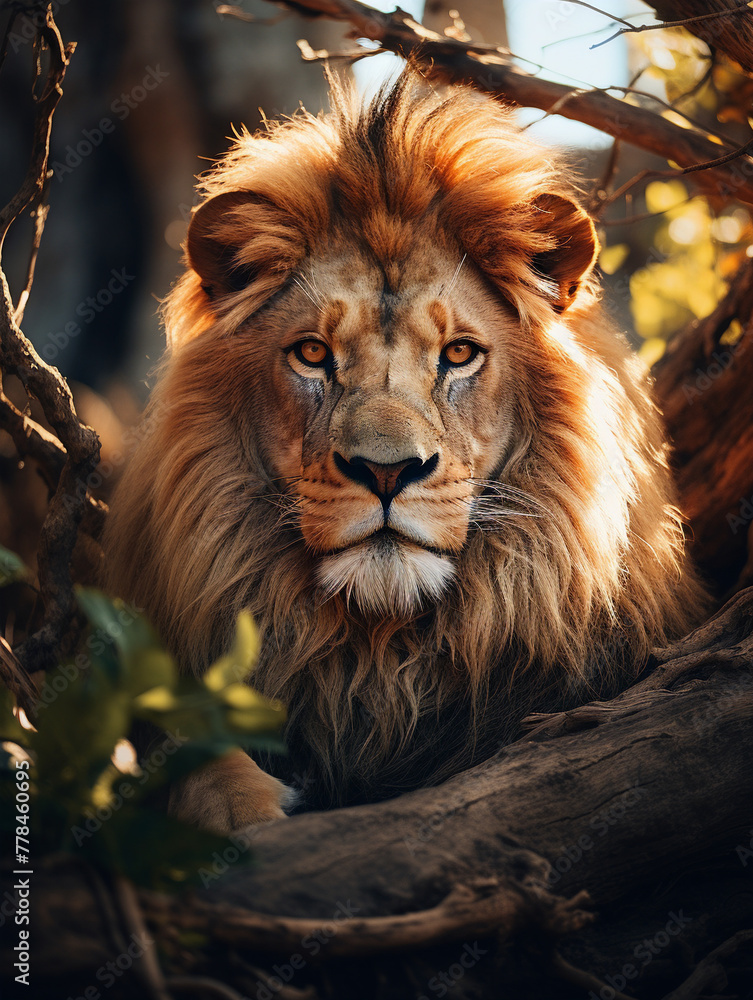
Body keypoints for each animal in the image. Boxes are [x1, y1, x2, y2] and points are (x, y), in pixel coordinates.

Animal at [103, 72, 708, 833]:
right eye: (312, 354)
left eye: (459, 354)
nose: (386, 471)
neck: (382, 658)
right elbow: (190, 766)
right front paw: (244, 811)